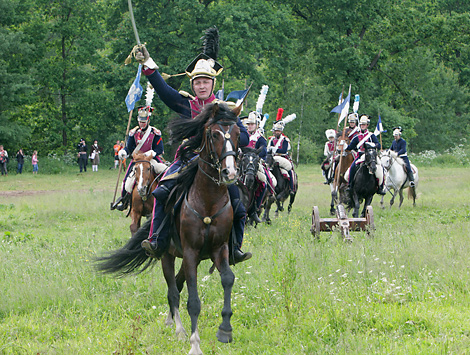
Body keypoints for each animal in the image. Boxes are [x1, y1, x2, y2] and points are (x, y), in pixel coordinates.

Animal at [95, 101, 242, 354]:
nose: (229, 172)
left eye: (237, 134)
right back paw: (179, 329)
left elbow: (227, 279)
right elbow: (193, 300)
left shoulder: (219, 249)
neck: (208, 200)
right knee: (173, 290)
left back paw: (170, 319)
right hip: (167, 253)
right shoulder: (190, 252)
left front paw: (225, 329)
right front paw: (194, 343)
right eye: (214, 134)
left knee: (178, 284)